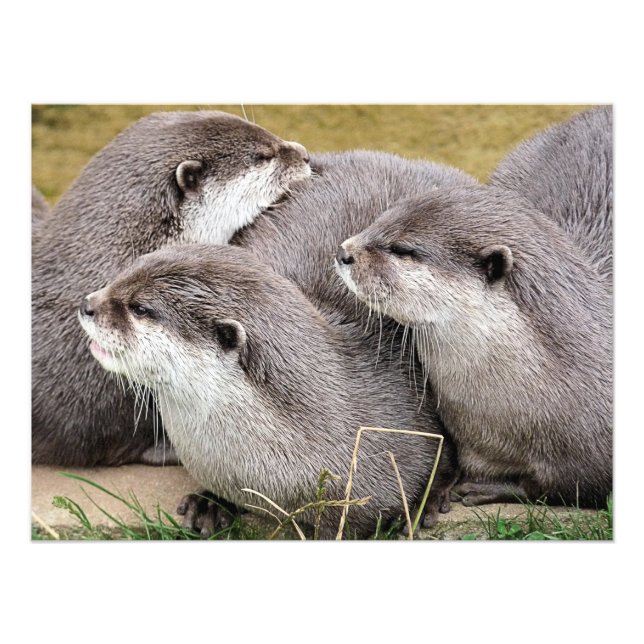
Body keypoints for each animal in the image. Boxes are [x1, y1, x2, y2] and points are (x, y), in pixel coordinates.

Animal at [336, 185, 612, 508]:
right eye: (379, 220)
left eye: (403, 250)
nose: (344, 252)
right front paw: (431, 496)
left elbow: (557, 486)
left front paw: (488, 488)